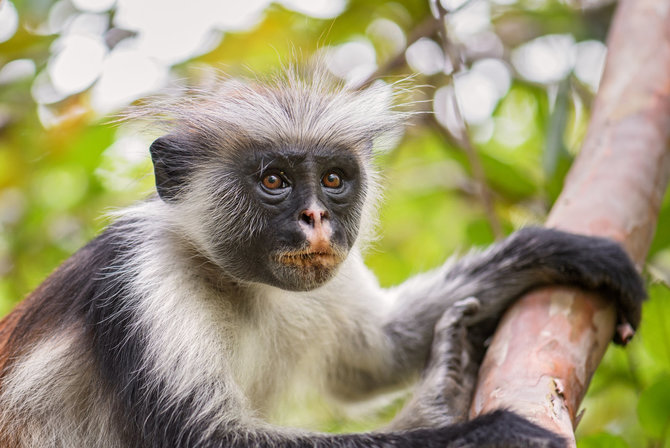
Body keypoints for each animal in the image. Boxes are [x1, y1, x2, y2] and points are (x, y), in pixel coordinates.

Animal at [0, 67, 644, 448]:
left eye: (333, 180)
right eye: (274, 180)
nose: (316, 218)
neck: (238, 283)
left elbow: (372, 354)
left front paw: (557, 251)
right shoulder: (141, 282)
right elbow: (214, 442)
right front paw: (476, 428)